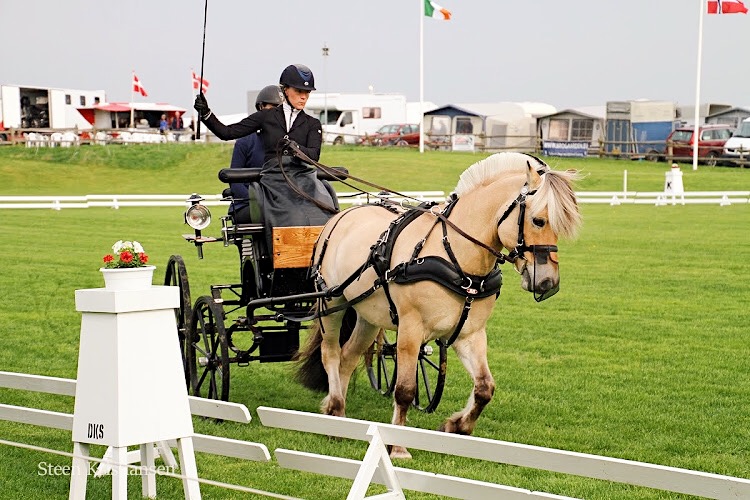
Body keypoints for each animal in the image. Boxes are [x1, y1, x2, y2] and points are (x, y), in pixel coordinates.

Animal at [296, 151, 584, 458]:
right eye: (539, 221)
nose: (548, 283)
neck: (456, 257)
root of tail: (343, 215)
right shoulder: (410, 331)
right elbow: (405, 390)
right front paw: (398, 447)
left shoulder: (470, 334)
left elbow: (485, 388)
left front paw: (456, 425)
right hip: (331, 301)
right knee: (331, 354)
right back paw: (335, 407)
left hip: (368, 315)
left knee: (349, 356)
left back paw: (337, 416)